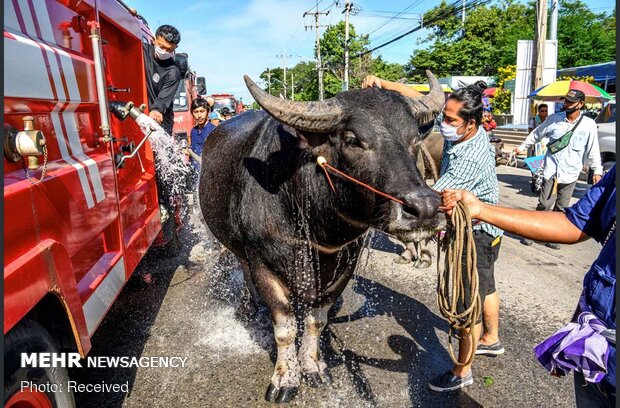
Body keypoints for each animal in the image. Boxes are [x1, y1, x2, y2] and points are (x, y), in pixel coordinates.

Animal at [201, 70, 448, 402]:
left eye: (414, 140)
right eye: (353, 139)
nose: (424, 208)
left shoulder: (344, 264)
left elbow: (317, 319)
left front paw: (312, 366)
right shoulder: (263, 263)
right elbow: (284, 327)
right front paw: (285, 378)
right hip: (237, 247)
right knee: (241, 267)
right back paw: (249, 304)